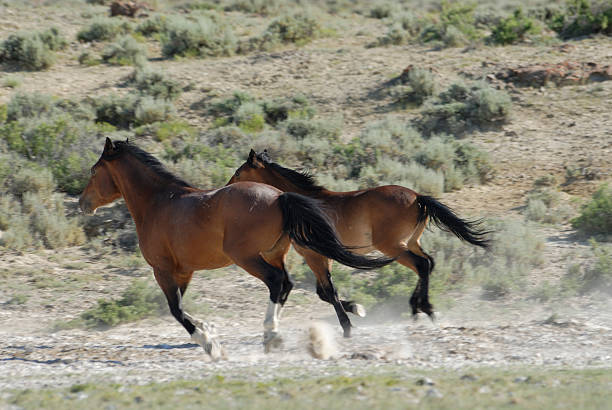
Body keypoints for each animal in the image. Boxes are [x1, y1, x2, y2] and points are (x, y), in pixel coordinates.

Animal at [79, 139, 392, 360]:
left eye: (94, 170)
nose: (83, 203)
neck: (157, 202)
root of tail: (280, 197)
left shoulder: (162, 270)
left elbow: (176, 310)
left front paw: (209, 344)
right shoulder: (184, 272)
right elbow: (181, 307)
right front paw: (207, 330)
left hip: (247, 257)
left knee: (277, 282)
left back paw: (271, 334)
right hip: (273, 254)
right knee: (287, 284)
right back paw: (273, 336)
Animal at [227, 151, 490, 336]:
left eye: (239, 173)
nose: (228, 187)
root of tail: (418, 197)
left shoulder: (315, 255)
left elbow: (328, 292)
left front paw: (350, 322)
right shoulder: (324, 257)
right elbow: (324, 292)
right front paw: (356, 308)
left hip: (393, 246)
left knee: (422, 265)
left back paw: (423, 308)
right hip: (411, 242)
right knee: (429, 263)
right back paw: (418, 309)